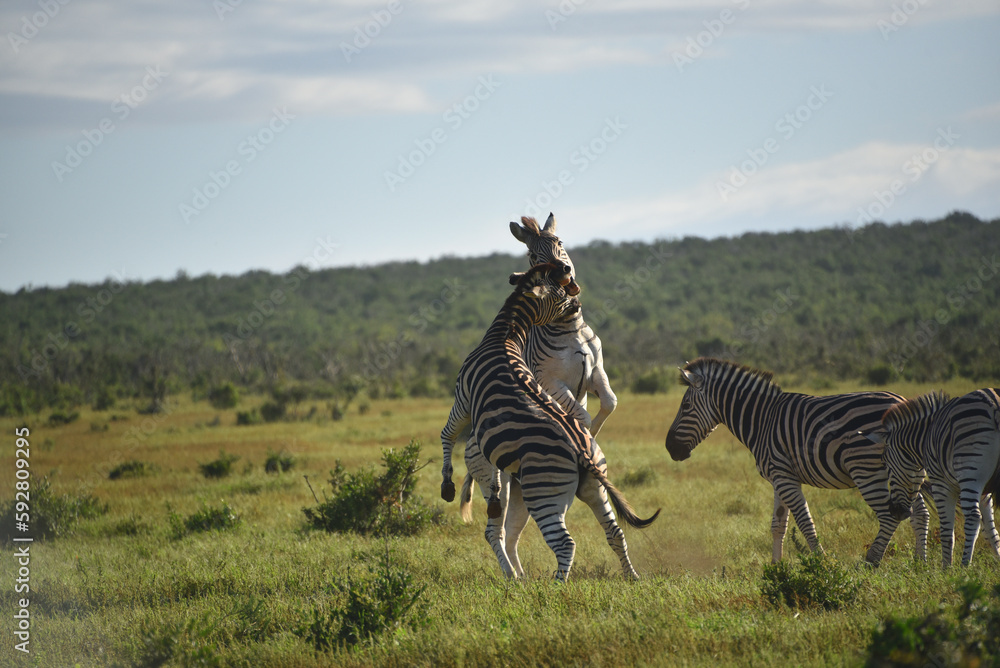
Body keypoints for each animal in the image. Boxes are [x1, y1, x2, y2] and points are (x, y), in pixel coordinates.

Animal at [439, 261, 659, 581]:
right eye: (562, 293)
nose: (578, 303)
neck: (503, 336)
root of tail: (582, 452)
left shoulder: (462, 399)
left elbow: (446, 434)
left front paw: (446, 484)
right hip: (588, 489)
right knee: (613, 532)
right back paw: (630, 577)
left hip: (542, 494)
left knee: (554, 541)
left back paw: (542, 584)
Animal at [458, 213, 620, 578]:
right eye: (533, 256)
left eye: (559, 243)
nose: (564, 270)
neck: (570, 328)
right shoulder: (551, 382)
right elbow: (581, 414)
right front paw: (585, 435)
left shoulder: (597, 372)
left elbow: (609, 402)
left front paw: (594, 438)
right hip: (501, 483)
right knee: (496, 529)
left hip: (523, 489)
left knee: (511, 532)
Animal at [664, 357, 926, 566]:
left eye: (685, 406)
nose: (669, 447)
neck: (762, 420)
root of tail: (901, 401)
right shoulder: (780, 478)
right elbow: (778, 524)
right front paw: (776, 569)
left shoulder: (784, 477)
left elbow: (804, 522)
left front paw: (822, 564)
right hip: (906, 472)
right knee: (919, 513)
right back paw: (920, 564)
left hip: (867, 470)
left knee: (890, 516)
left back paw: (871, 562)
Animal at [863, 389, 1000, 567]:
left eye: (884, 462)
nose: (894, 511)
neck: (925, 437)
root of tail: (994, 404)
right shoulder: (984, 492)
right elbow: (991, 532)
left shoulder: (941, 483)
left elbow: (947, 531)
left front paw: (947, 569)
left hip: (969, 470)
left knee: (972, 517)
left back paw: (964, 566)